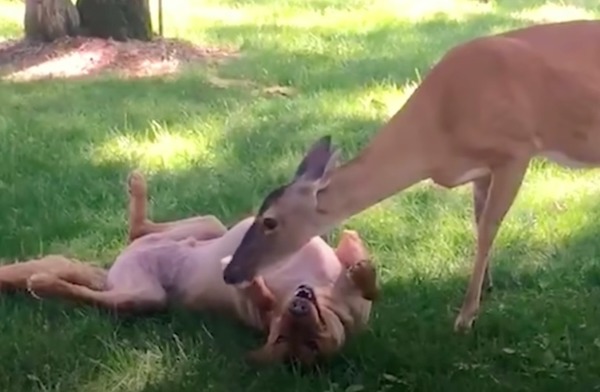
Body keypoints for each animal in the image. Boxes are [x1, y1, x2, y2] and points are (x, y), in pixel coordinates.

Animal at [0, 171, 378, 364]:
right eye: (284, 335)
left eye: (312, 342)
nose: (297, 306)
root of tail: (110, 274)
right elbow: (363, 272)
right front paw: (360, 263)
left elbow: (259, 298)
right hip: (208, 225)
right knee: (139, 229)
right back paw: (137, 186)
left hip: (145, 296)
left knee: (102, 292)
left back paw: (45, 283)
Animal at [223, 19, 600, 332]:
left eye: (270, 221)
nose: (230, 273)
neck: (437, 137)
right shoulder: (482, 170)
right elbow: (479, 223)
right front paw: (486, 288)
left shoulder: (516, 149)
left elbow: (487, 230)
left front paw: (465, 317)